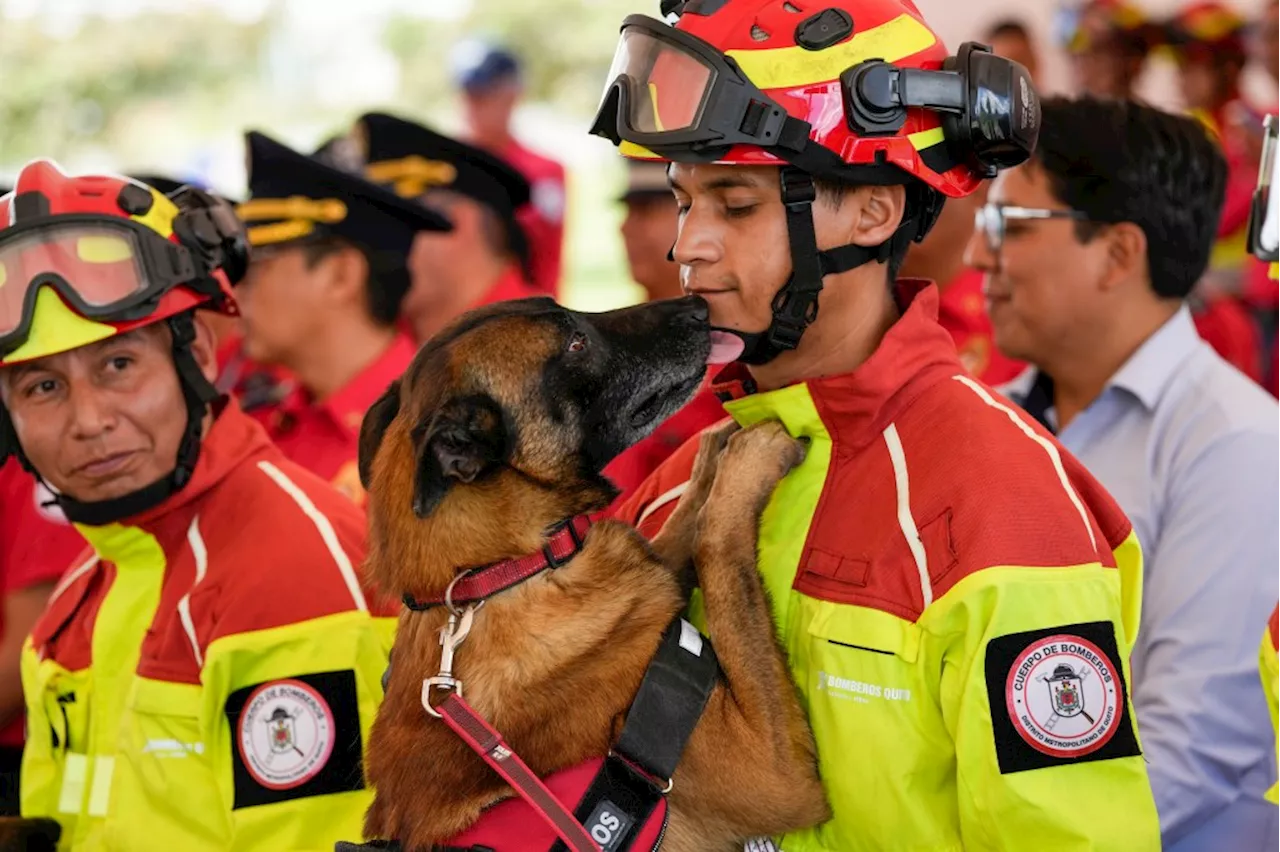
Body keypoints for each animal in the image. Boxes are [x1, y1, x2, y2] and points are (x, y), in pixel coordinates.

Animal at [355, 295, 829, 844]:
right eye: (576, 344)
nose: (697, 306)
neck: (503, 571)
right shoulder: (773, 769)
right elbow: (716, 539)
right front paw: (751, 458)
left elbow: (682, 524)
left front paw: (713, 447)